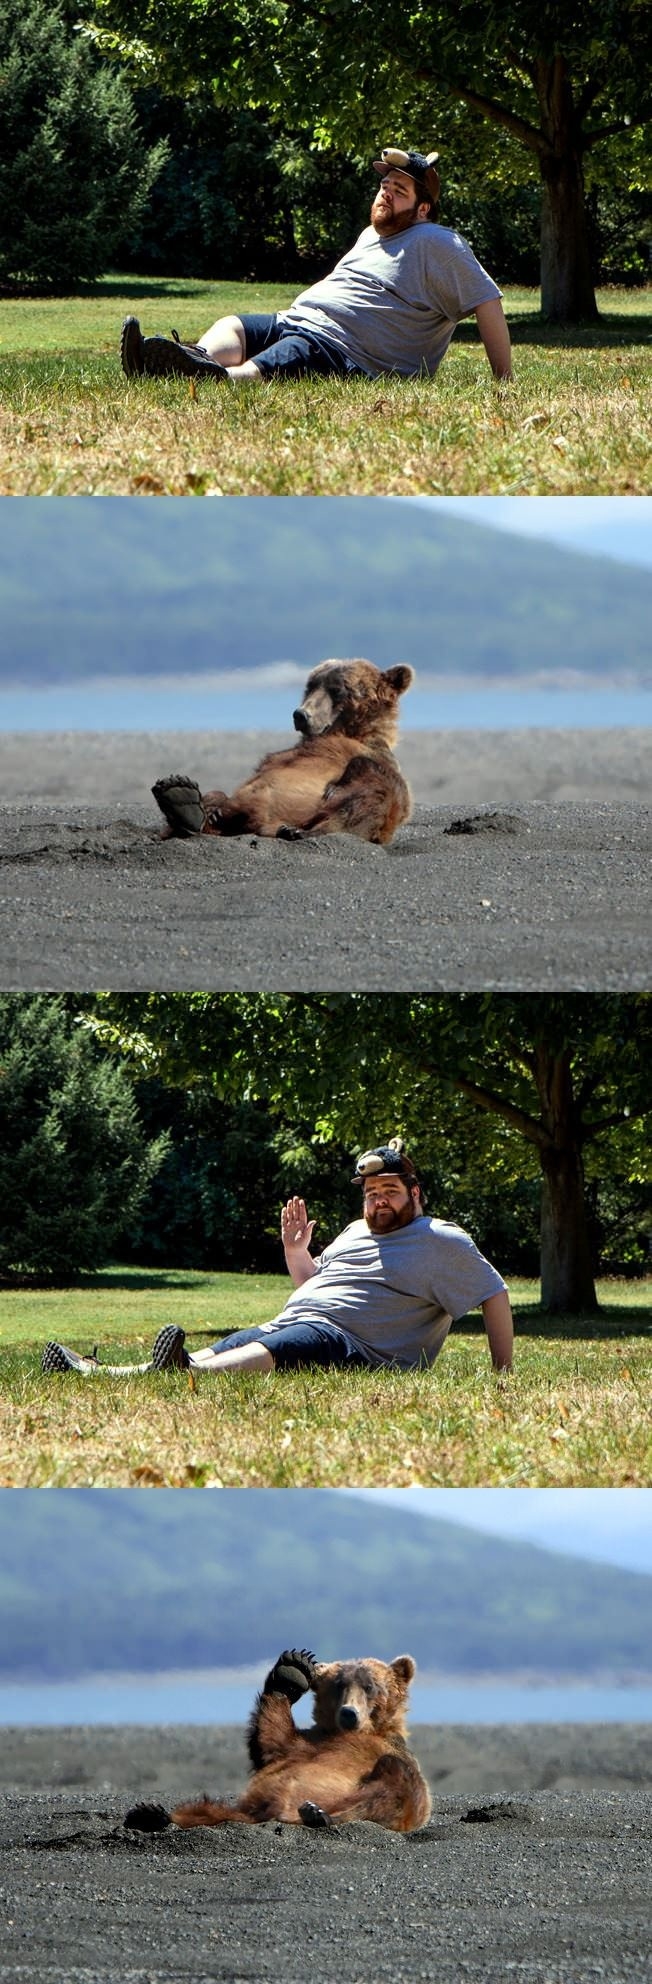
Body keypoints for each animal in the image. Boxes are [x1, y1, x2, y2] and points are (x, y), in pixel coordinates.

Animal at [124, 1647, 431, 1835]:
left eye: (370, 1687)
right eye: (339, 1686)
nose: (349, 1713)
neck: (355, 1734)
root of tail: (279, 1813)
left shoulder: (389, 1753)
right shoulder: (304, 1745)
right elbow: (273, 1740)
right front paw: (293, 1670)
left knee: (391, 1785)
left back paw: (319, 1814)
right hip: (240, 1809)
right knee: (204, 1810)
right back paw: (151, 1815)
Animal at [152, 658, 414, 846]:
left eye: (337, 689)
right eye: (311, 685)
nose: (301, 714)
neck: (349, 733)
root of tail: (266, 825)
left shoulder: (378, 759)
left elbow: (381, 783)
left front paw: (333, 789)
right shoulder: (278, 759)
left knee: (365, 803)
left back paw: (297, 831)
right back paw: (184, 801)